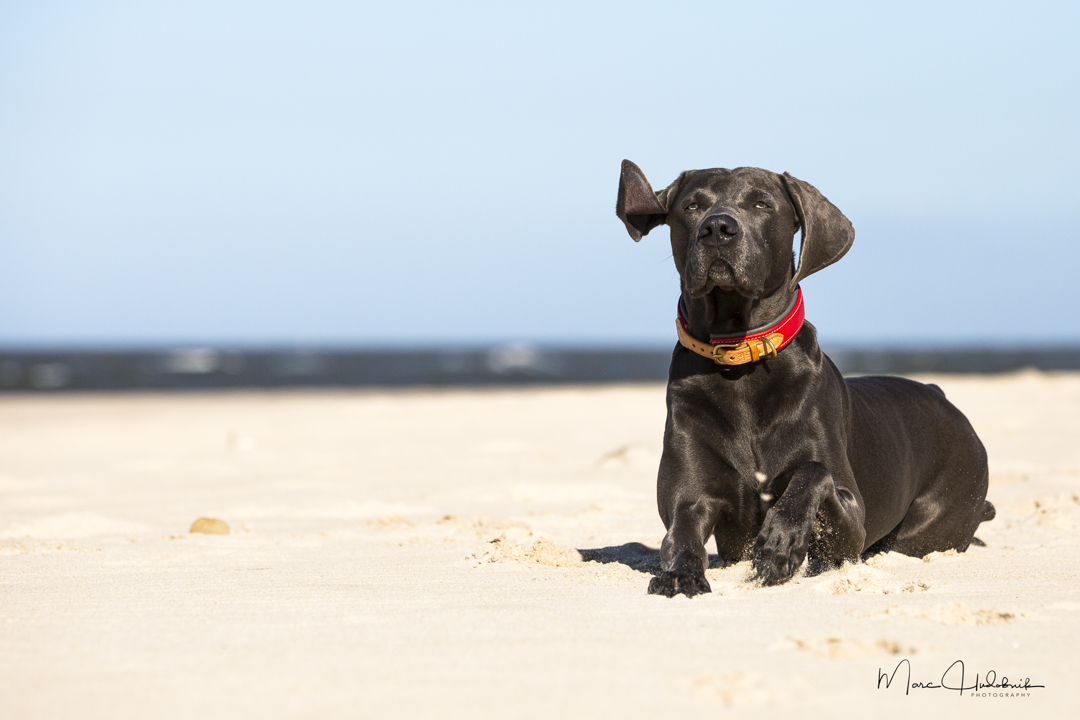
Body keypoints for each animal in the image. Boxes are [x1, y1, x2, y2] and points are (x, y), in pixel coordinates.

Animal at [617, 162, 993, 595]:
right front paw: (680, 573)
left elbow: (814, 473)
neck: (740, 359)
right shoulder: (690, 496)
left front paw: (780, 542)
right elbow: (680, 534)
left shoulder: (852, 523)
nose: (717, 229)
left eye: (761, 204)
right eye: (692, 206)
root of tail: (943, 397)